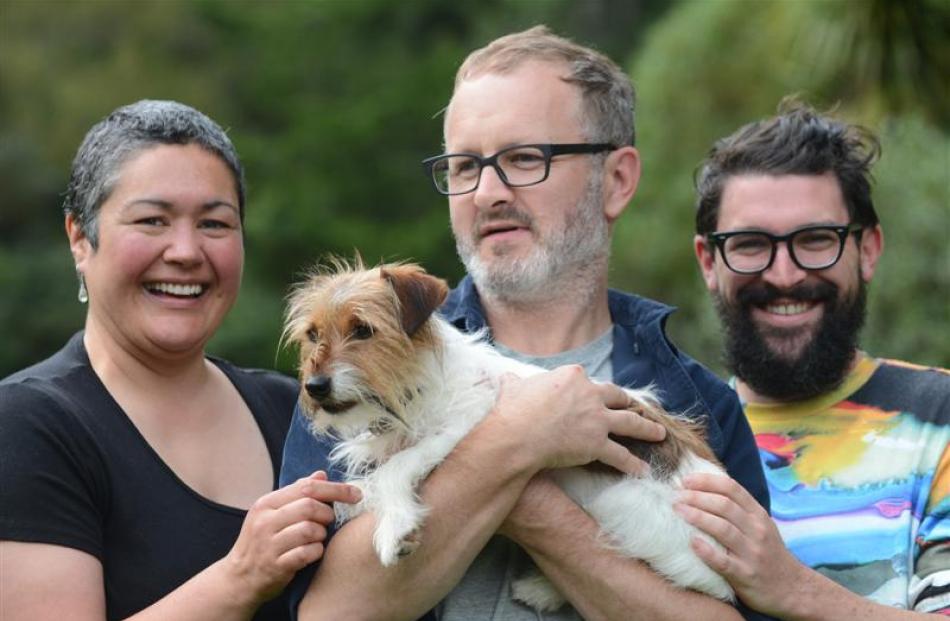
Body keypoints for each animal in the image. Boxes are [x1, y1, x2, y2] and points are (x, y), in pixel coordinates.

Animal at [282, 258, 736, 612]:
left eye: (363, 330)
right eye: (313, 334)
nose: (316, 387)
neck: (412, 386)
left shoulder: (468, 419)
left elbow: (397, 467)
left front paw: (396, 529)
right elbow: (372, 475)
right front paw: (346, 502)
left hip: (618, 502)